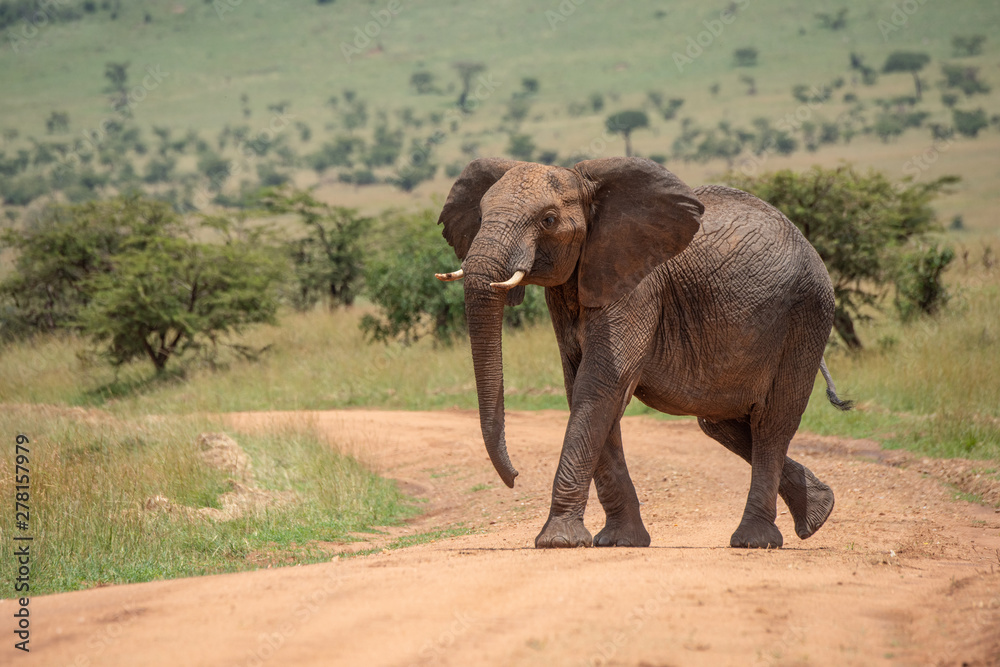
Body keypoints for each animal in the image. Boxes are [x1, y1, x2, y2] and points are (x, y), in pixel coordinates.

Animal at [435, 157, 852, 549]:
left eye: (548, 220)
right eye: (481, 216)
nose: (515, 477)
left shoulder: (638, 287)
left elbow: (600, 385)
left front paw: (557, 542)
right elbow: (583, 389)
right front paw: (619, 541)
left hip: (807, 314)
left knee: (771, 422)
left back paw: (755, 540)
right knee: (722, 422)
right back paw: (819, 512)